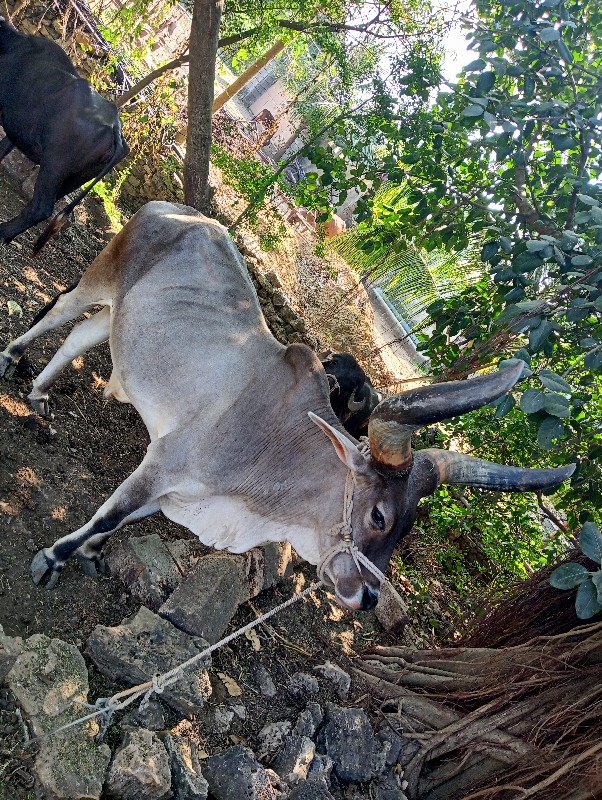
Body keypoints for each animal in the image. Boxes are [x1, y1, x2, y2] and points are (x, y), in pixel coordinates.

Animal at [0, 203, 572, 608]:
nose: (368, 596)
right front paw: (53, 559)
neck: (274, 449)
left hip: (121, 314)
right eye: (380, 516)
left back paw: (39, 395)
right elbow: (107, 517)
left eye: (406, 529)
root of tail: (176, 207)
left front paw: (91, 556)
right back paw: (12, 360)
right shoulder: (163, 464)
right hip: (101, 276)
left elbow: (120, 524)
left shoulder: (173, 490)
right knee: (61, 311)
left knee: (81, 336)